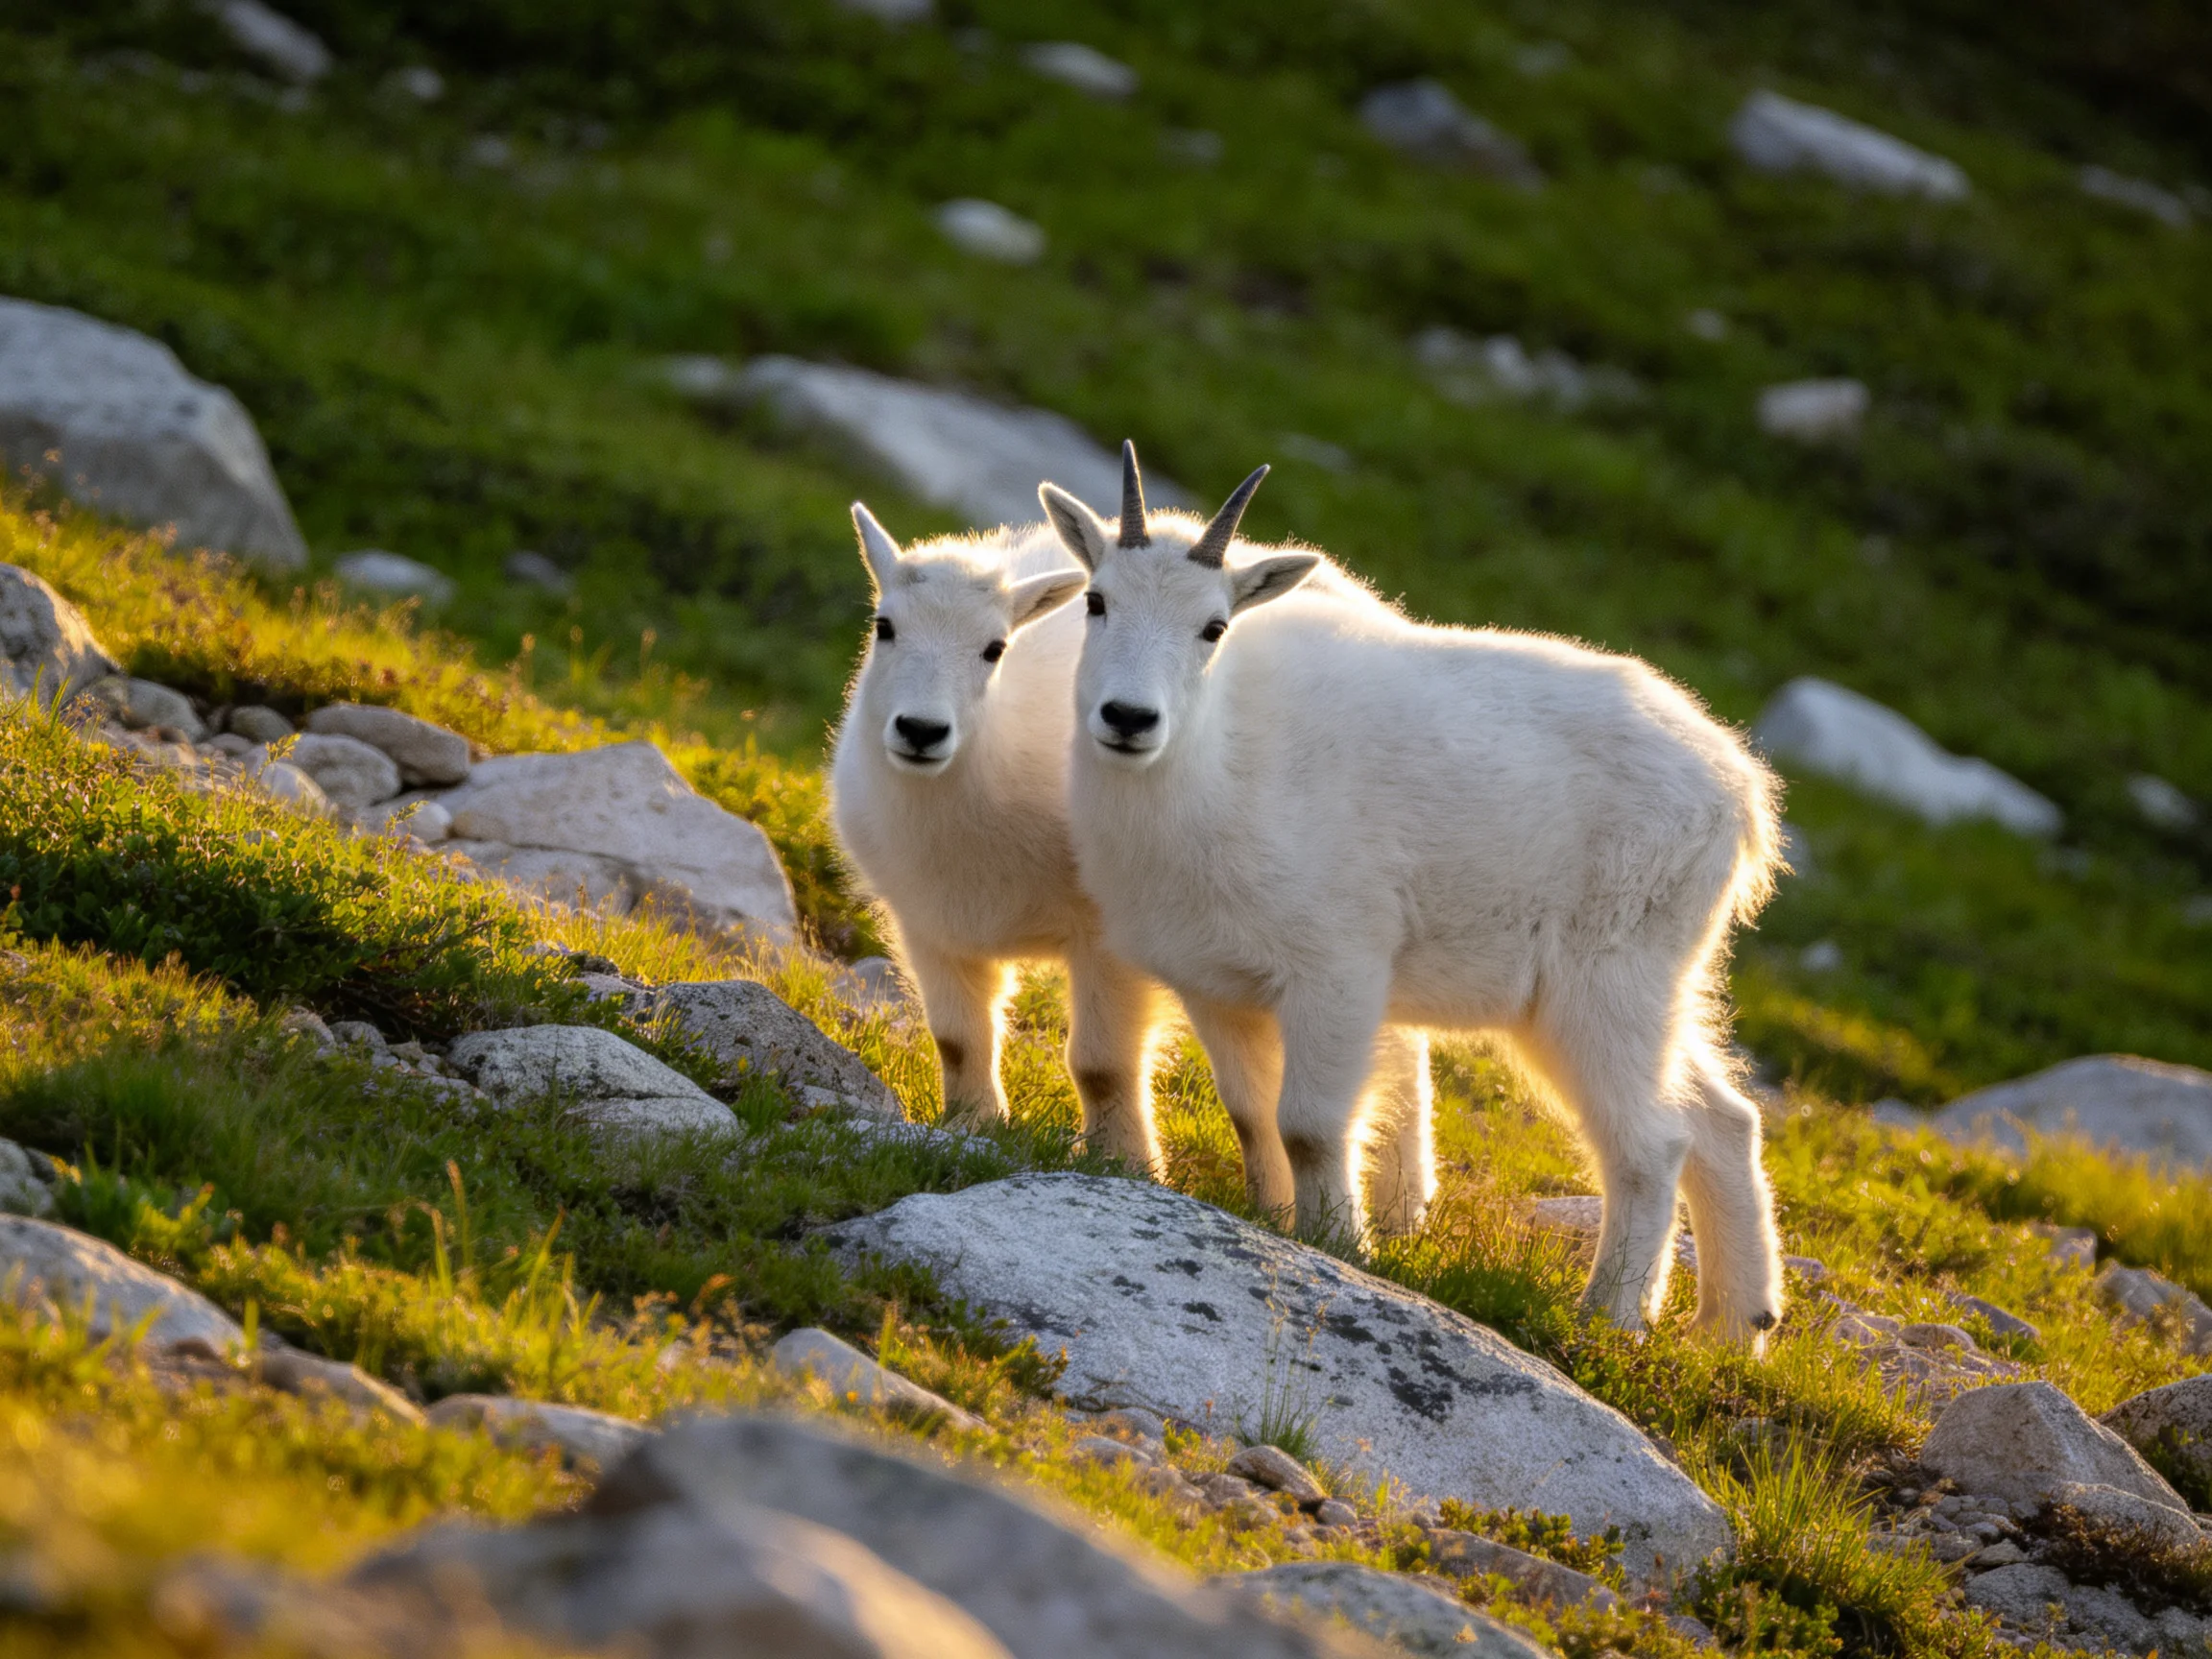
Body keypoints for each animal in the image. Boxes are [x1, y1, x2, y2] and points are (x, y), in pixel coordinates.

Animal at [829, 491, 1436, 1232]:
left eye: (994, 648)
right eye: (884, 627)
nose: (921, 731)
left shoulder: (1105, 934)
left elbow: (1100, 1063)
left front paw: (1125, 1163)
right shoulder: (927, 923)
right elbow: (957, 1038)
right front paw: (973, 1126)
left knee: (1400, 1053)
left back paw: (1404, 1206)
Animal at [1041, 448, 1786, 1338]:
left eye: (1213, 627)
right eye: (1096, 600)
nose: (1128, 718)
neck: (1216, 767)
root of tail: (1742, 794)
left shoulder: (1340, 966)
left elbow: (1309, 1124)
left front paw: (1339, 1244)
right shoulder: (1218, 983)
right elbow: (1253, 1113)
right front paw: (1270, 1218)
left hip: (1606, 978)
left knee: (1652, 1142)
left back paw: (1607, 1318)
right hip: (1643, 985)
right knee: (1723, 1119)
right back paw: (1733, 1330)